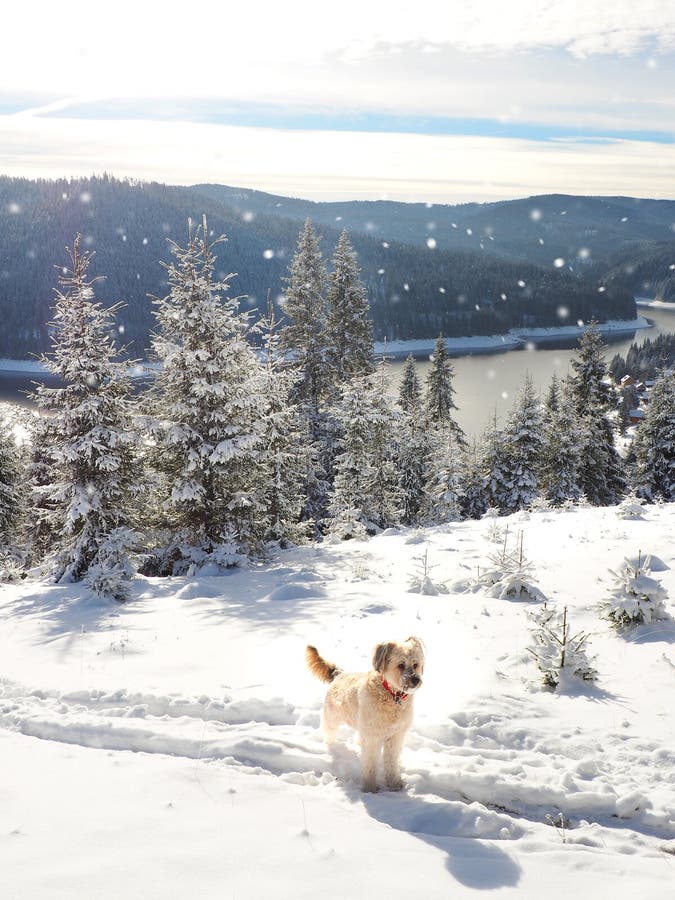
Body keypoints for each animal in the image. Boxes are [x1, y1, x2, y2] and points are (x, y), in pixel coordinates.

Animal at [304, 636, 422, 792]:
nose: (415, 680)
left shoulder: (395, 736)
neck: (391, 695)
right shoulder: (372, 737)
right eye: (401, 665)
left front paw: (394, 783)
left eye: (415, 664)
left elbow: (391, 763)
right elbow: (370, 763)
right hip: (331, 718)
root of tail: (339, 674)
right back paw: (331, 746)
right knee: (329, 733)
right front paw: (370, 787)